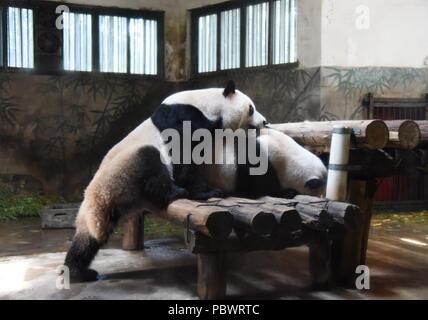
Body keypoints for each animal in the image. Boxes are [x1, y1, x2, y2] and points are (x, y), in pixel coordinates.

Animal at [63, 80, 268, 282]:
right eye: (251, 108)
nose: (265, 122)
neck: (207, 104)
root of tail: (97, 198)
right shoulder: (184, 117)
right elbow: (185, 153)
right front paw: (207, 191)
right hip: (122, 173)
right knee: (150, 163)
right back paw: (175, 192)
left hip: (105, 205)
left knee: (87, 240)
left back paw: (78, 271)